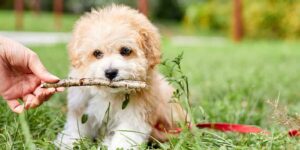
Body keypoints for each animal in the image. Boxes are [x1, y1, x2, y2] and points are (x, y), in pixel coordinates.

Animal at [56, 4, 186, 149]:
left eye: (125, 50)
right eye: (97, 53)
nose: (110, 72)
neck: (110, 94)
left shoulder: (135, 115)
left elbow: (126, 136)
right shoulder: (80, 106)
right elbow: (76, 127)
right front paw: (68, 142)